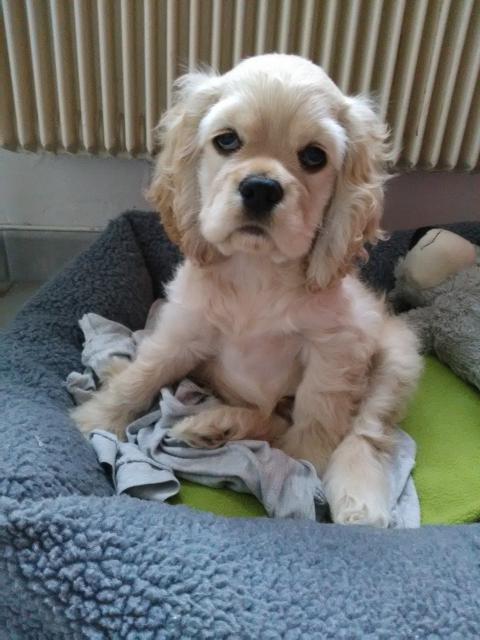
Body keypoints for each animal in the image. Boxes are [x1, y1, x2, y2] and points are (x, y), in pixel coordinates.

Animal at [72, 54, 422, 526]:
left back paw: (355, 497)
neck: (257, 272)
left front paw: (303, 465)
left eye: (314, 156)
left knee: (363, 430)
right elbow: (143, 375)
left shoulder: (334, 349)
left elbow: (317, 418)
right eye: (227, 140)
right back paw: (210, 423)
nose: (261, 188)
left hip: (398, 355)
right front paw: (94, 417)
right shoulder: (182, 330)